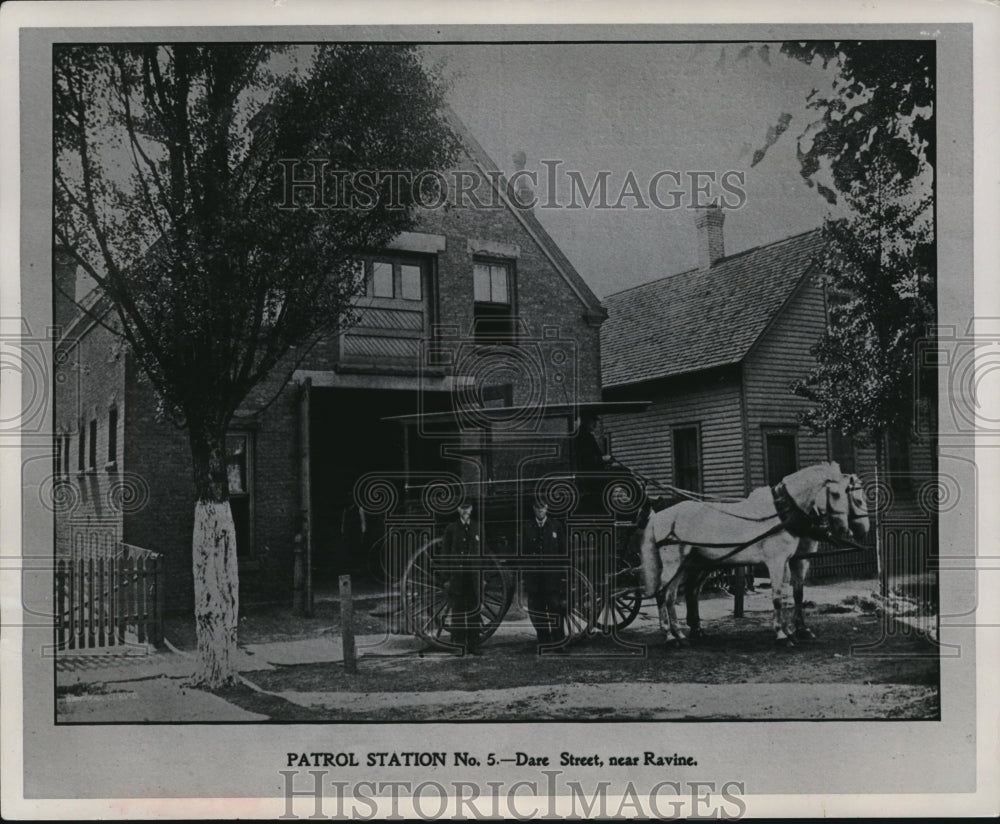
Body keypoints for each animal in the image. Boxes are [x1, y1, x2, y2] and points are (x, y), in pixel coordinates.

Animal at [640, 464, 868, 644]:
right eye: (837, 494)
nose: (859, 530)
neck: (783, 511)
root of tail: (661, 515)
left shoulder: (790, 560)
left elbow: (791, 595)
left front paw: (793, 631)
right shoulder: (776, 561)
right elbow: (778, 596)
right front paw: (782, 635)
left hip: (689, 564)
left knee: (677, 594)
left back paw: (682, 634)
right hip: (674, 563)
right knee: (663, 594)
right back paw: (670, 636)